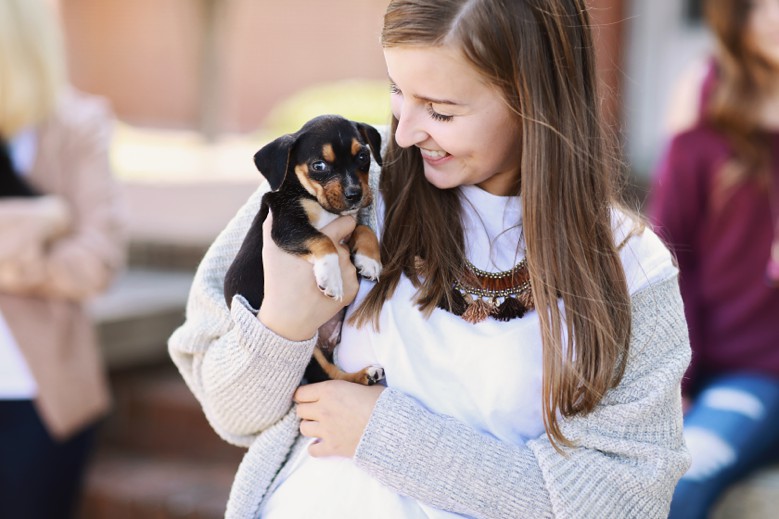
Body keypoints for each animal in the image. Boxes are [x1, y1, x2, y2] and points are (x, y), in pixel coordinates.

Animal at [224, 116, 386, 388]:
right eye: (318, 166)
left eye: (363, 156)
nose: (355, 194)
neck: (310, 197)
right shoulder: (287, 226)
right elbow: (322, 240)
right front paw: (331, 277)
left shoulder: (347, 223)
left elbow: (363, 229)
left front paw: (369, 260)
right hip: (309, 350)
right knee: (326, 377)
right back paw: (364, 375)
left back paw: (366, 375)